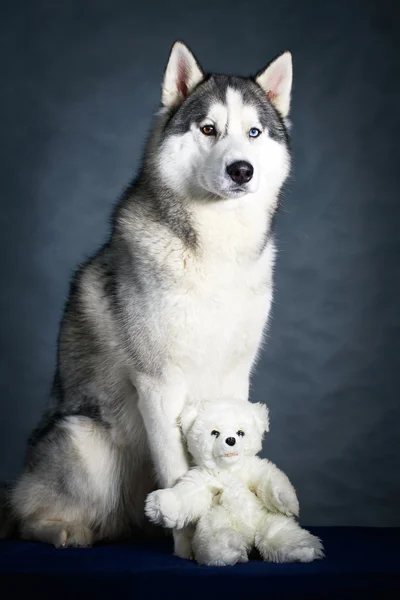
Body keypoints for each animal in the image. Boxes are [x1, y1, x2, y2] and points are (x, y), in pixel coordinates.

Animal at [5, 42, 294, 556]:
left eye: (254, 132)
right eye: (208, 129)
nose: (241, 169)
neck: (215, 251)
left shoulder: (234, 376)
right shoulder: (159, 383)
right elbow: (179, 474)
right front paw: (196, 544)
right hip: (83, 439)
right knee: (28, 515)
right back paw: (64, 531)